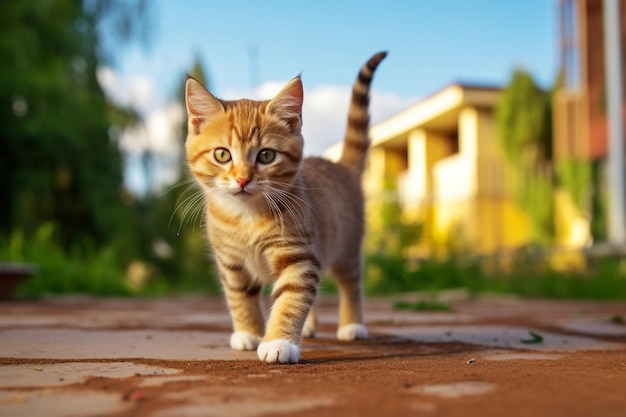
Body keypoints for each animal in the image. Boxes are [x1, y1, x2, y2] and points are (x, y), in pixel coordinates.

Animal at [183, 51, 382, 364]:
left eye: (266, 155)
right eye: (222, 155)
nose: (242, 179)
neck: (248, 217)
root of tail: (341, 165)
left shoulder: (298, 256)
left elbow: (291, 297)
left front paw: (278, 342)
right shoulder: (231, 262)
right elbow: (240, 296)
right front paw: (249, 333)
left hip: (347, 247)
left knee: (351, 282)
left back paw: (352, 325)